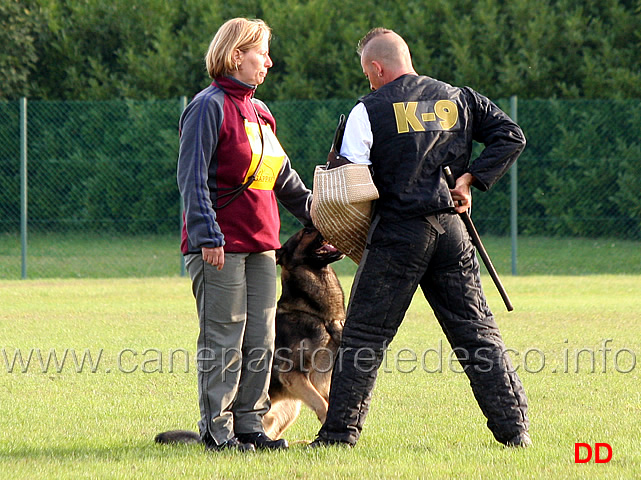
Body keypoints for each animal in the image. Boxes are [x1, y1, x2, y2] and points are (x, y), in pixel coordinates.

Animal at [155, 227, 344, 444]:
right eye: (306, 232)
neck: (318, 314)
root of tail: (203, 438)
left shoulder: (320, 381)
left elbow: (328, 401)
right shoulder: (293, 374)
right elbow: (322, 404)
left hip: (290, 408)